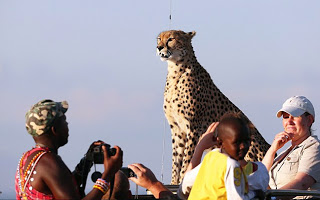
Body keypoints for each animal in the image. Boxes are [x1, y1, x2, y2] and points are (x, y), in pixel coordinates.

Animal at [156, 29, 272, 184]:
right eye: (159, 39)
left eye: (171, 39)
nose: (159, 48)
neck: (176, 71)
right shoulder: (177, 128)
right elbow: (177, 158)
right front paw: (174, 182)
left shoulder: (193, 127)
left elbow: (187, 158)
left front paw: (182, 179)